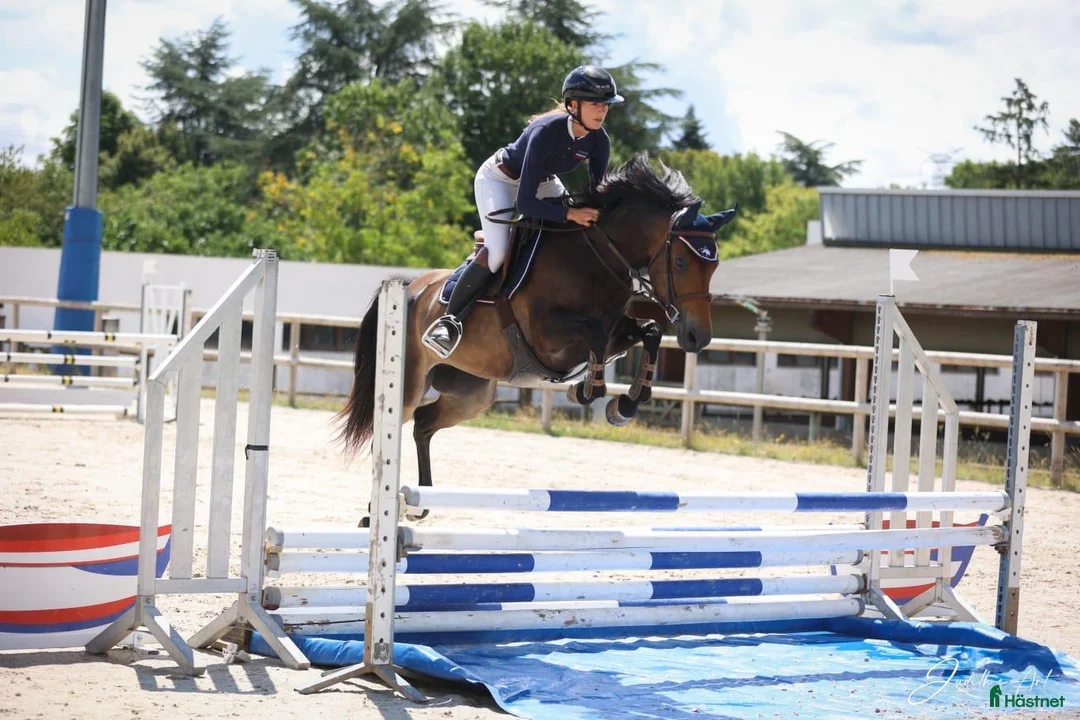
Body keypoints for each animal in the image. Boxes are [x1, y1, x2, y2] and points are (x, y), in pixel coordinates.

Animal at [336, 153, 737, 487]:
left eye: (714, 265)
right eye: (681, 262)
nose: (697, 337)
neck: (598, 256)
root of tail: (410, 287)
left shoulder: (615, 331)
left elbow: (649, 332)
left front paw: (623, 406)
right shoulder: (548, 338)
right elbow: (593, 335)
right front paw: (589, 389)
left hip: (471, 392)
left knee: (423, 424)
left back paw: (417, 504)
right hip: (409, 383)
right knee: (390, 429)